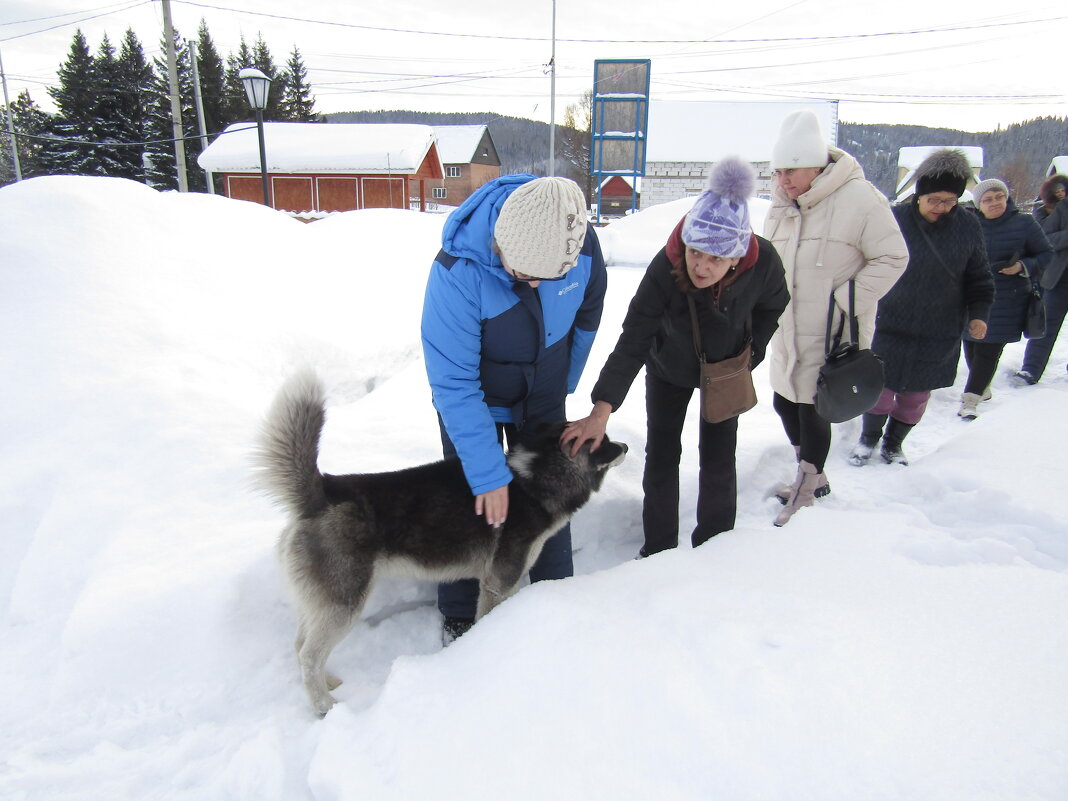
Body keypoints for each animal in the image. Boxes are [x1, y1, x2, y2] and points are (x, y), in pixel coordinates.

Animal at [253, 369, 623, 713]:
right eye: (601, 441)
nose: (626, 447)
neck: (534, 478)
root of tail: (325, 489)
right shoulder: (497, 582)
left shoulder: (504, 580)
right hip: (343, 604)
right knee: (308, 655)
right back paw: (323, 706)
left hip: (321, 603)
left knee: (300, 645)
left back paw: (327, 682)